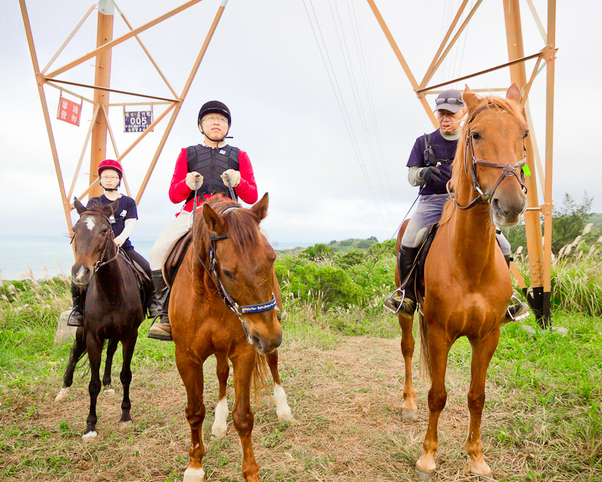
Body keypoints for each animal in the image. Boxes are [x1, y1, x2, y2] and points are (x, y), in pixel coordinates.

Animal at [55, 198, 146, 438]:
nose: (80, 274)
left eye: (105, 230)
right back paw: (64, 388)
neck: (111, 291)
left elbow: (126, 374)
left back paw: (108, 382)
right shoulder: (93, 337)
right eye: (75, 230)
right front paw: (90, 425)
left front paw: (125, 415)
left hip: (115, 334)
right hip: (81, 332)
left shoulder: (130, 335)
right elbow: (92, 384)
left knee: (111, 352)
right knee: (75, 352)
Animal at [169, 193, 290, 482]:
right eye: (227, 272)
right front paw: (194, 466)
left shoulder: (244, 351)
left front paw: (251, 472)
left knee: (273, 362)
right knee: (222, 373)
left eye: (271, 258)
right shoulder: (186, 358)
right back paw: (219, 421)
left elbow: (243, 417)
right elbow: (195, 412)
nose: (268, 337)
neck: (212, 297)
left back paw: (283, 407)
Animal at [394, 84, 524, 478]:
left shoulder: (488, 336)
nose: (511, 205)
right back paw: (408, 402)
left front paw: (477, 458)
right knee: (408, 349)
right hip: (407, 312)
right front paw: (427, 457)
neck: (471, 262)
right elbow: (438, 395)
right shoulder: (439, 332)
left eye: (524, 135)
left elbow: (476, 397)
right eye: (476, 135)